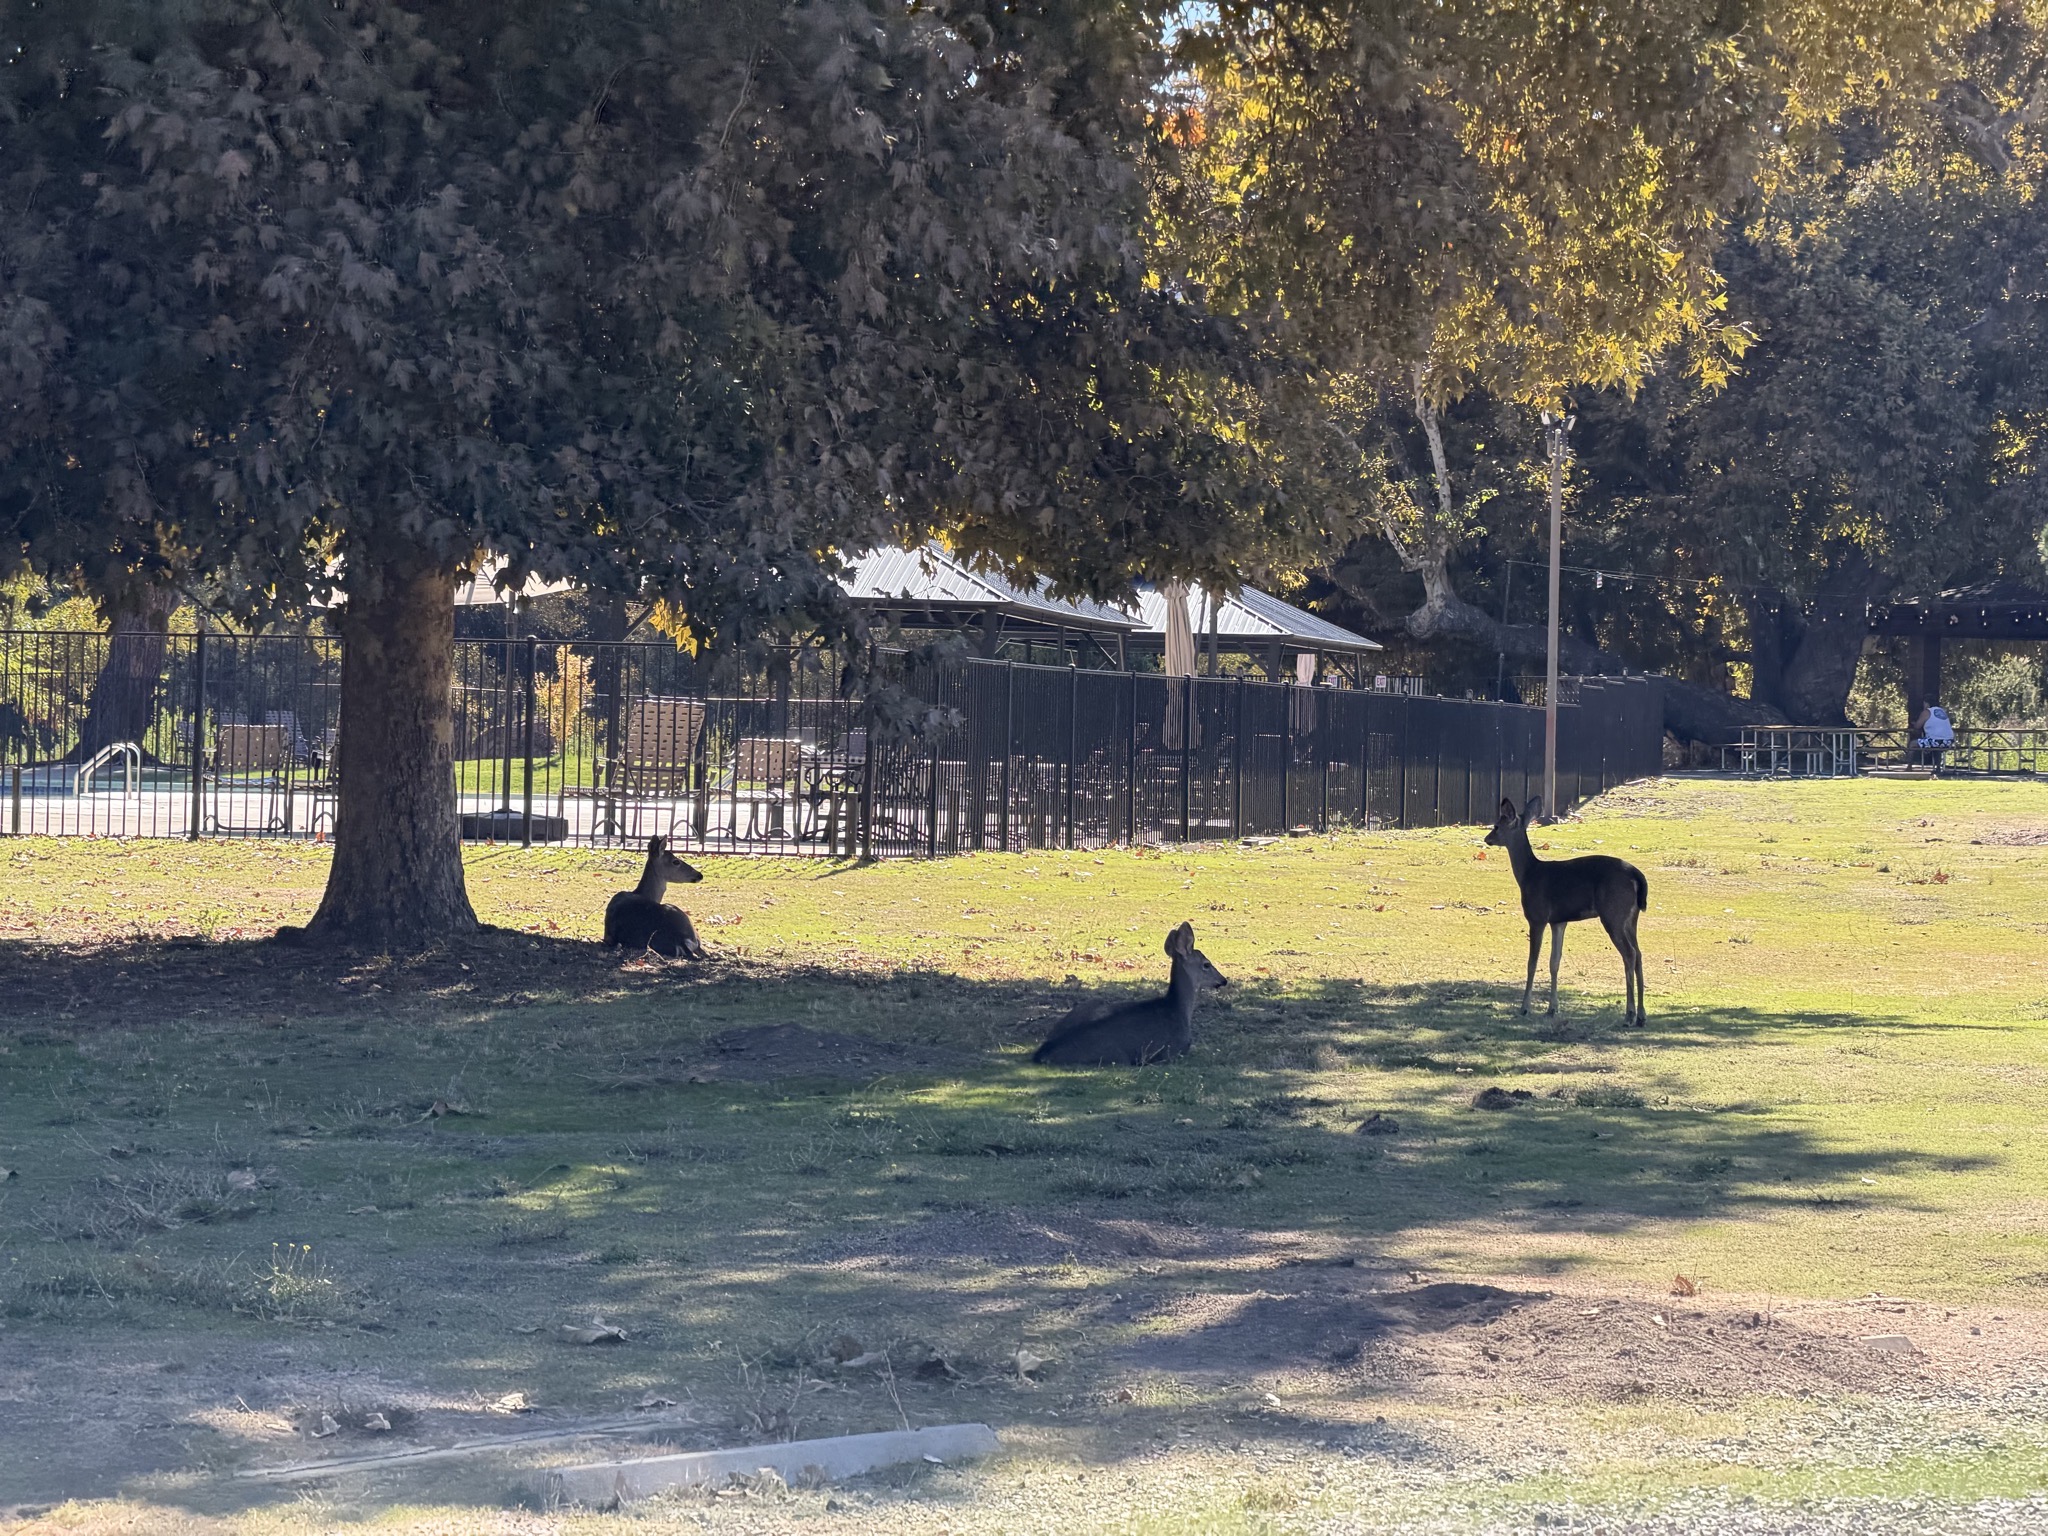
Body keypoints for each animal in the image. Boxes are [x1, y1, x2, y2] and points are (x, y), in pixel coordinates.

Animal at [1031, 921, 1228, 1066]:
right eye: (1206, 964)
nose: (1223, 980)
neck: (1177, 1008)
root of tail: (1042, 1053)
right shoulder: (1174, 1050)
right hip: (1117, 1057)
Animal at [1484, 796, 1648, 1026]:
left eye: (1497, 826)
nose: (1487, 839)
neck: (1528, 875)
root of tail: (1637, 876)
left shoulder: (1537, 917)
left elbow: (1532, 963)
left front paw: (1525, 1008)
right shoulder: (1558, 921)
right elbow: (1555, 962)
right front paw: (1552, 1009)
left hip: (1613, 913)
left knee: (1630, 954)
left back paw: (1629, 1015)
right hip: (1631, 917)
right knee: (1639, 953)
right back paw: (1641, 1015)